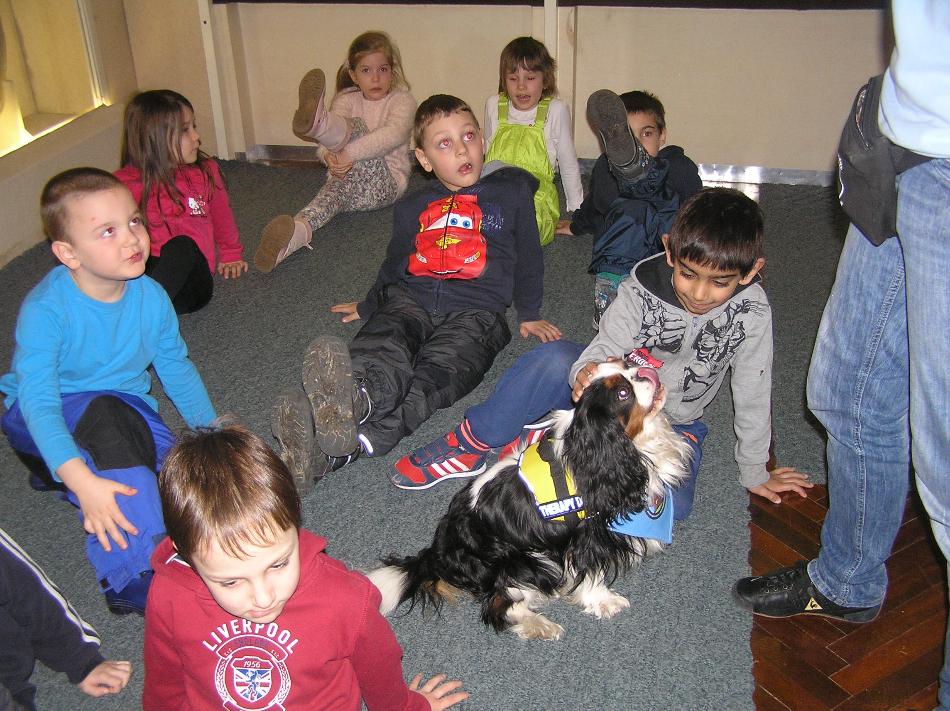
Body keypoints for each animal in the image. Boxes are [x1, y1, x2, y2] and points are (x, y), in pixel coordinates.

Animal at [368, 361, 692, 640]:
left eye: (627, 364)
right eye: (623, 393)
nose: (645, 370)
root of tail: (438, 552)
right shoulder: (585, 537)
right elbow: (591, 573)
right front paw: (604, 601)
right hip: (522, 562)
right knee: (499, 607)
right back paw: (540, 625)